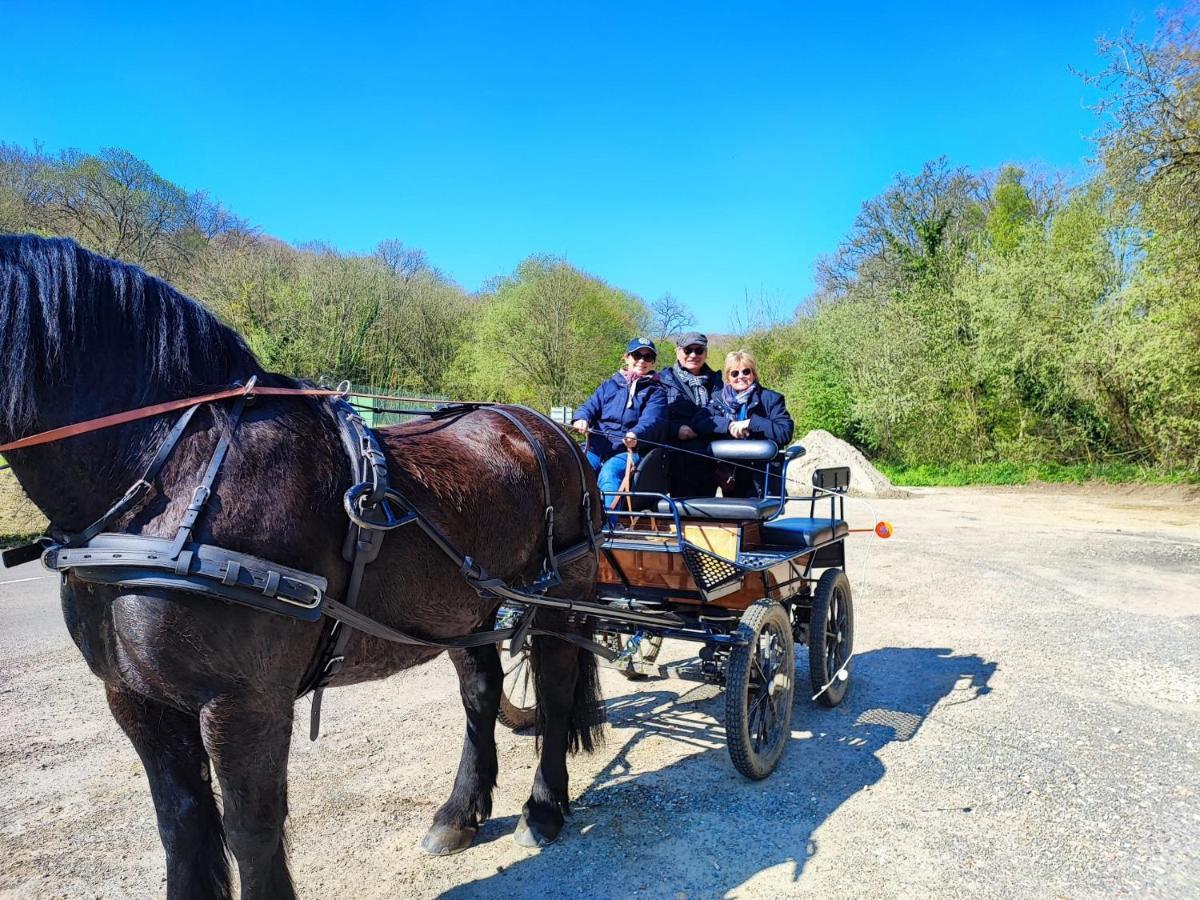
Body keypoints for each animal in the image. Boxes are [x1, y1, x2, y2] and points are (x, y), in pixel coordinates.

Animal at [0, 236, 604, 897]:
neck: (172, 471)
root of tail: (550, 428)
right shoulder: (136, 700)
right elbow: (181, 829)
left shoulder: (244, 704)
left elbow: (250, 833)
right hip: (467, 607)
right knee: (481, 695)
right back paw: (459, 813)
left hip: (556, 601)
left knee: (554, 690)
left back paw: (542, 808)